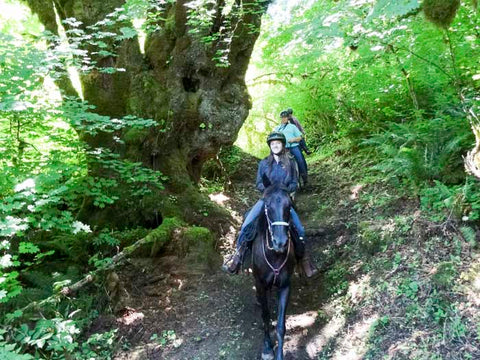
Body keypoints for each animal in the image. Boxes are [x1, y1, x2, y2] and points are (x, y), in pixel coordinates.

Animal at [251, 184, 296, 358]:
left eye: (289, 206)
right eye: (268, 206)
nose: (280, 242)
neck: (274, 255)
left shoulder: (285, 286)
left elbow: (281, 325)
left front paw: (279, 355)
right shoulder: (260, 284)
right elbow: (265, 315)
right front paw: (267, 348)